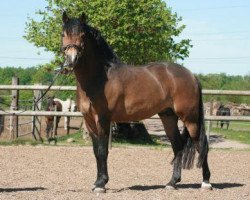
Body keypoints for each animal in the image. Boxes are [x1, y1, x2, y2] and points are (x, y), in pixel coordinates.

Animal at [61, 11, 212, 193]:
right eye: (63, 34)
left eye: (82, 35)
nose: (71, 60)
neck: (99, 78)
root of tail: (191, 75)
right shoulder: (89, 121)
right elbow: (96, 151)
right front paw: (97, 182)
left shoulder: (103, 119)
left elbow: (103, 151)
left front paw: (101, 184)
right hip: (168, 117)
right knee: (177, 146)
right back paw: (171, 183)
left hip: (190, 119)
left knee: (201, 145)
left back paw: (206, 182)